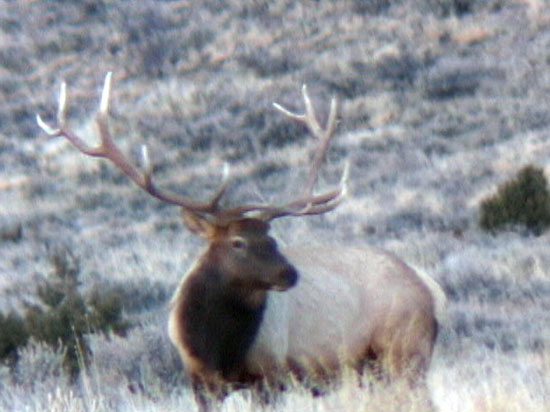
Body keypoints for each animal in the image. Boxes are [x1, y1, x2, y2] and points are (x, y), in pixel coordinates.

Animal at [35, 72, 448, 410]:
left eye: (271, 237)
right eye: (237, 242)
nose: (289, 274)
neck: (215, 346)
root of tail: (431, 290)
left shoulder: (270, 377)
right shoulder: (200, 383)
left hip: (405, 352)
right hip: (375, 368)